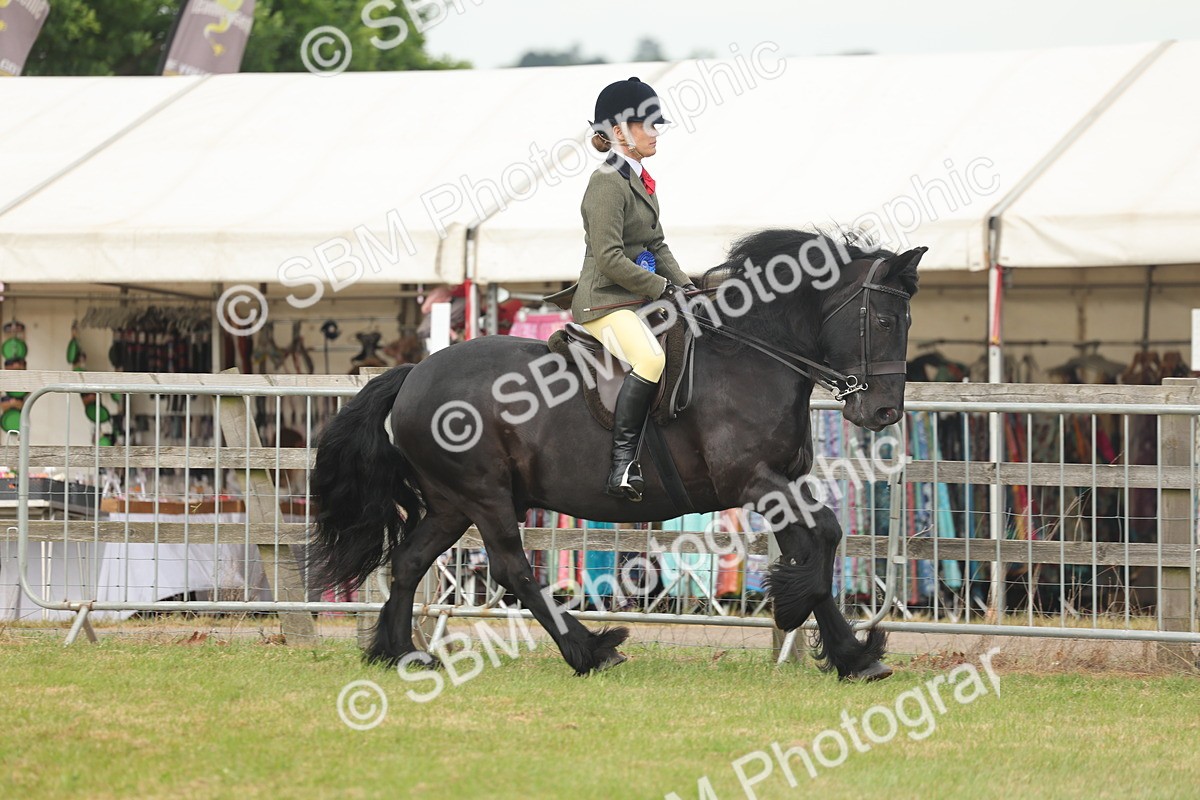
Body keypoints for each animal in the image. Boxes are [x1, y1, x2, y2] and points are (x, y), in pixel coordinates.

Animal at [308, 229, 924, 680]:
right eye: (885, 321)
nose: (884, 413)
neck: (754, 356)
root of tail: (414, 375)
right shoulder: (754, 480)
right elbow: (820, 540)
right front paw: (802, 616)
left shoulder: (784, 481)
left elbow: (817, 543)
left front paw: (852, 656)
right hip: (483, 494)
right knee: (511, 567)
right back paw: (590, 649)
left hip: (450, 502)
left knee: (410, 561)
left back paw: (400, 653)